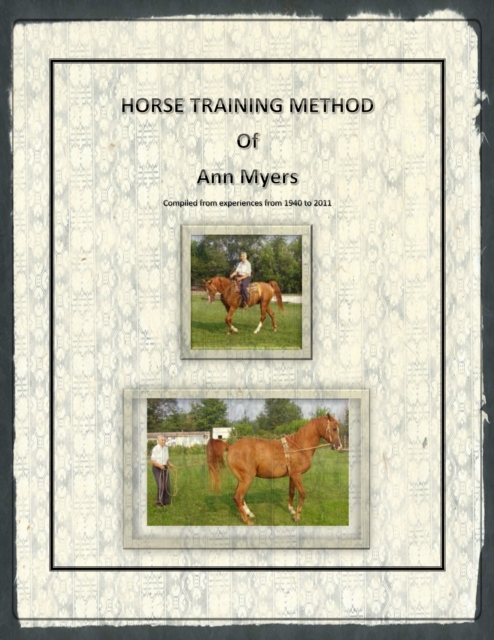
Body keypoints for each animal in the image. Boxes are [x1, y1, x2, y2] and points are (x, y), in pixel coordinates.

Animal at [206, 414, 342, 525]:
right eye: (334, 428)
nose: (339, 446)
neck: (298, 446)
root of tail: (230, 447)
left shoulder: (292, 475)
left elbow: (291, 492)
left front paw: (291, 511)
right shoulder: (297, 475)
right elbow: (303, 494)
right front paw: (297, 517)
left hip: (241, 479)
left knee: (239, 497)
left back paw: (249, 513)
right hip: (247, 478)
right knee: (238, 497)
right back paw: (247, 521)